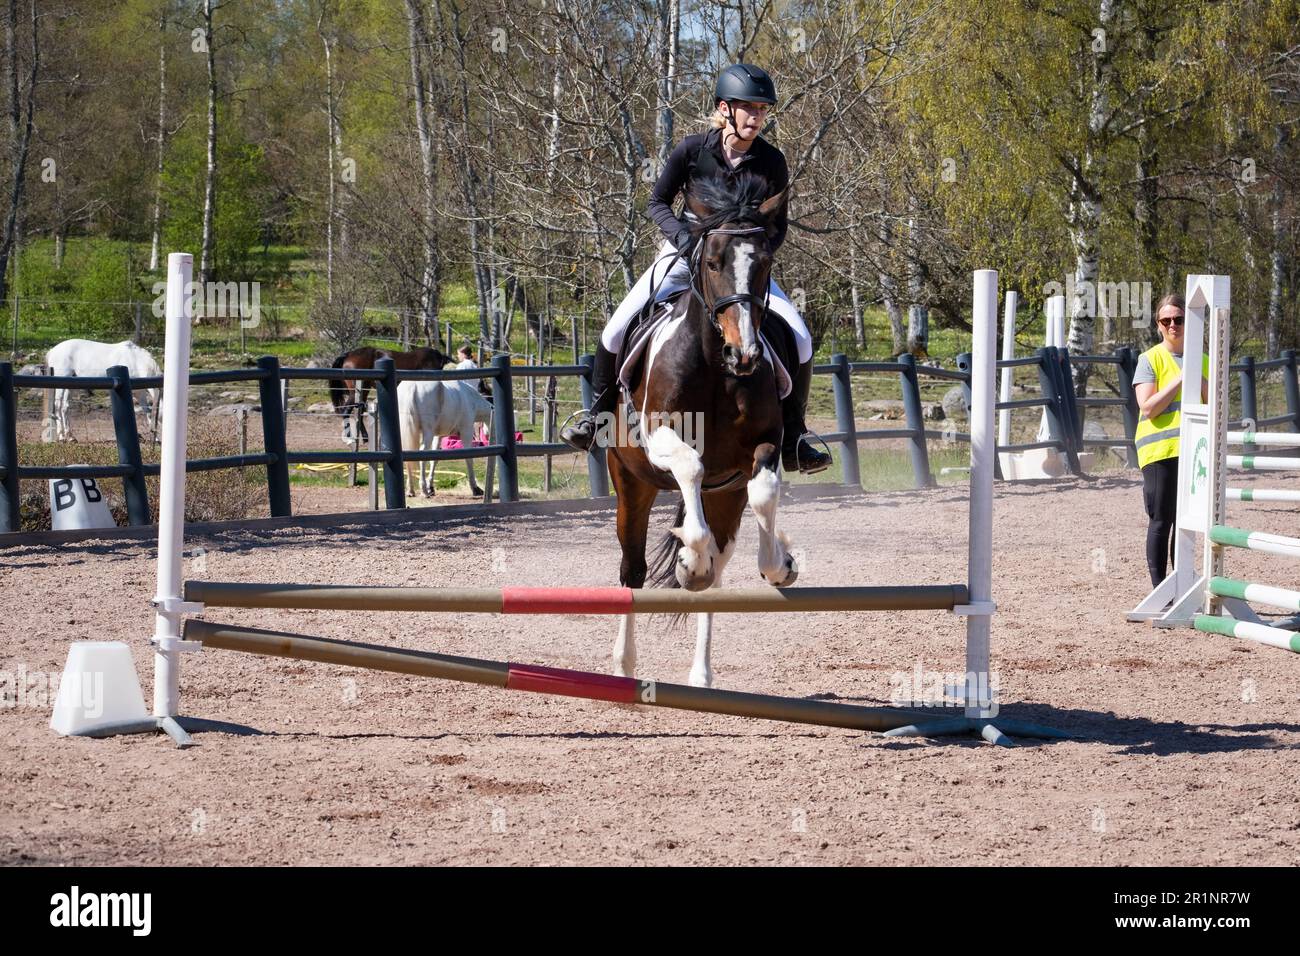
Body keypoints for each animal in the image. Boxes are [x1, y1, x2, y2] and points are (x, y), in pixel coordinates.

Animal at [604, 174, 798, 689]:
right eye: (712, 263)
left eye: (764, 264)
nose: (744, 354)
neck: (713, 364)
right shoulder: (659, 438)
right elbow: (691, 464)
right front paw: (689, 562)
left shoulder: (764, 445)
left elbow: (764, 492)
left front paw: (780, 565)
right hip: (631, 483)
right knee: (632, 568)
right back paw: (624, 666)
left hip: (724, 494)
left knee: (718, 569)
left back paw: (701, 674)